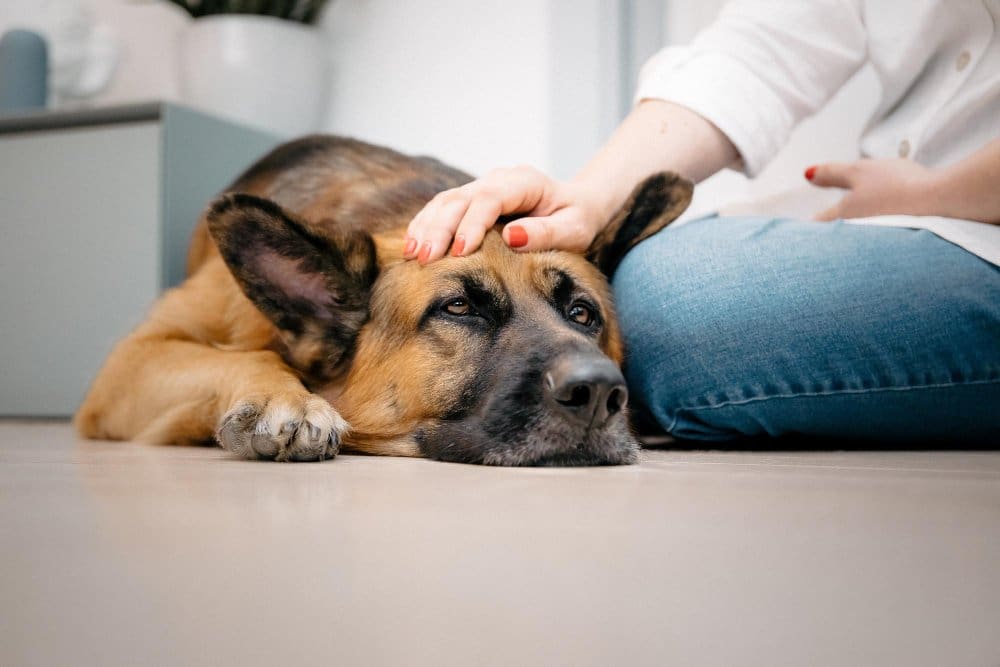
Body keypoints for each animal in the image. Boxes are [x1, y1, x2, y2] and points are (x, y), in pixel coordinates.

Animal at [76, 138, 688, 468]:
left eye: (582, 313)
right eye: (458, 308)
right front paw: (285, 399)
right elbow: (249, 354)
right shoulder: (129, 364)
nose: (600, 393)